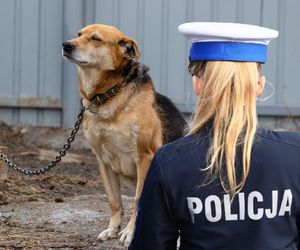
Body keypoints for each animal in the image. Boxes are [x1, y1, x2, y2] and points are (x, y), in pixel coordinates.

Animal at [62, 23, 186, 246]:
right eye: (79, 34)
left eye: (96, 39)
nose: (66, 45)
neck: (111, 94)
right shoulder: (102, 159)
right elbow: (114, 201)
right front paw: (112, 228)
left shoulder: (144, 157)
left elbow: (138, 200)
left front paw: (130, 232)